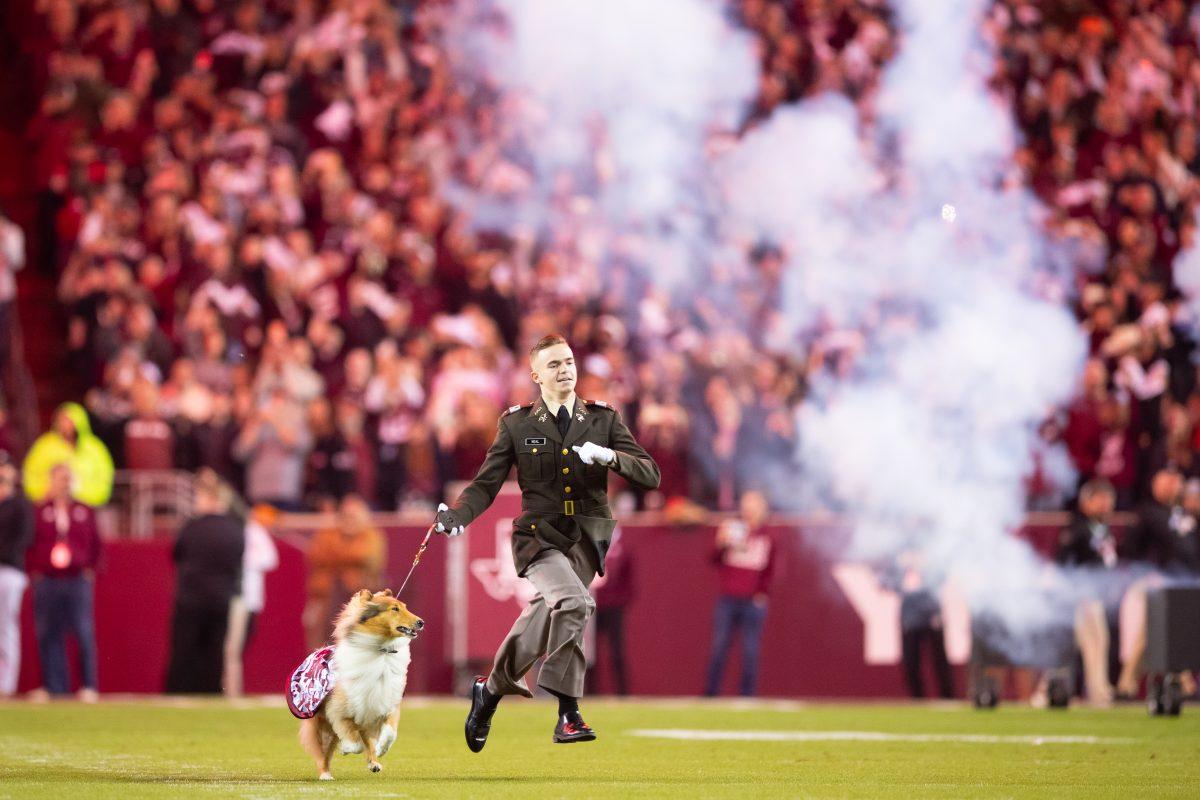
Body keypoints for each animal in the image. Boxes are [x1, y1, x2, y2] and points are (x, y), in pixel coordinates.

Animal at [297, 587, 424, 782]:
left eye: (405, 607)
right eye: (394, 609)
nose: (421, 622)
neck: (381, 651)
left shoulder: (385, 703)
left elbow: (390, 733)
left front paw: (381, 748)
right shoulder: (340, 711)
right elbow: (354, 742)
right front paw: (347, 748)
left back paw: (374, 762)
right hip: (323, 725)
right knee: (323, 753)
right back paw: (325, 774)